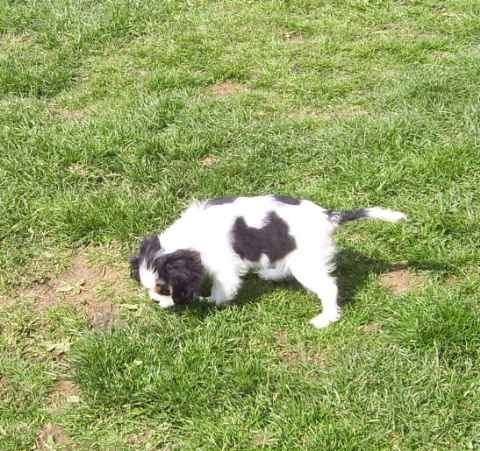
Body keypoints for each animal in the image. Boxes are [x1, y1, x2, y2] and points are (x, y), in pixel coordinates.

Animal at [130, 195, 406, 328]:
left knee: (329, 288)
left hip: (306, 263)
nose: (155, 301)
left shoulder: (224, 267)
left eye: (163, 290)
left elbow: (222, 290)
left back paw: (326, 318)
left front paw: (208, 301)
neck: (191, 237)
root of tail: (329, 216)